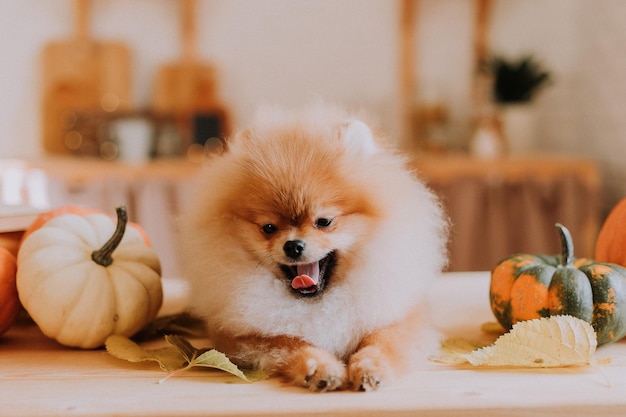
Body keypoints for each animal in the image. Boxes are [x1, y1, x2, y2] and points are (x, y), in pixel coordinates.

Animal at [178, 104, 446, 390]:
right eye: (268, 228)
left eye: (324, 222)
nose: (293, 245)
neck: (315, 303)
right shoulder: (241, 336)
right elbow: (290, 342)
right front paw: (319, 368)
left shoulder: (402, 316)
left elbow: (381, 342)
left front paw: (370, 367)